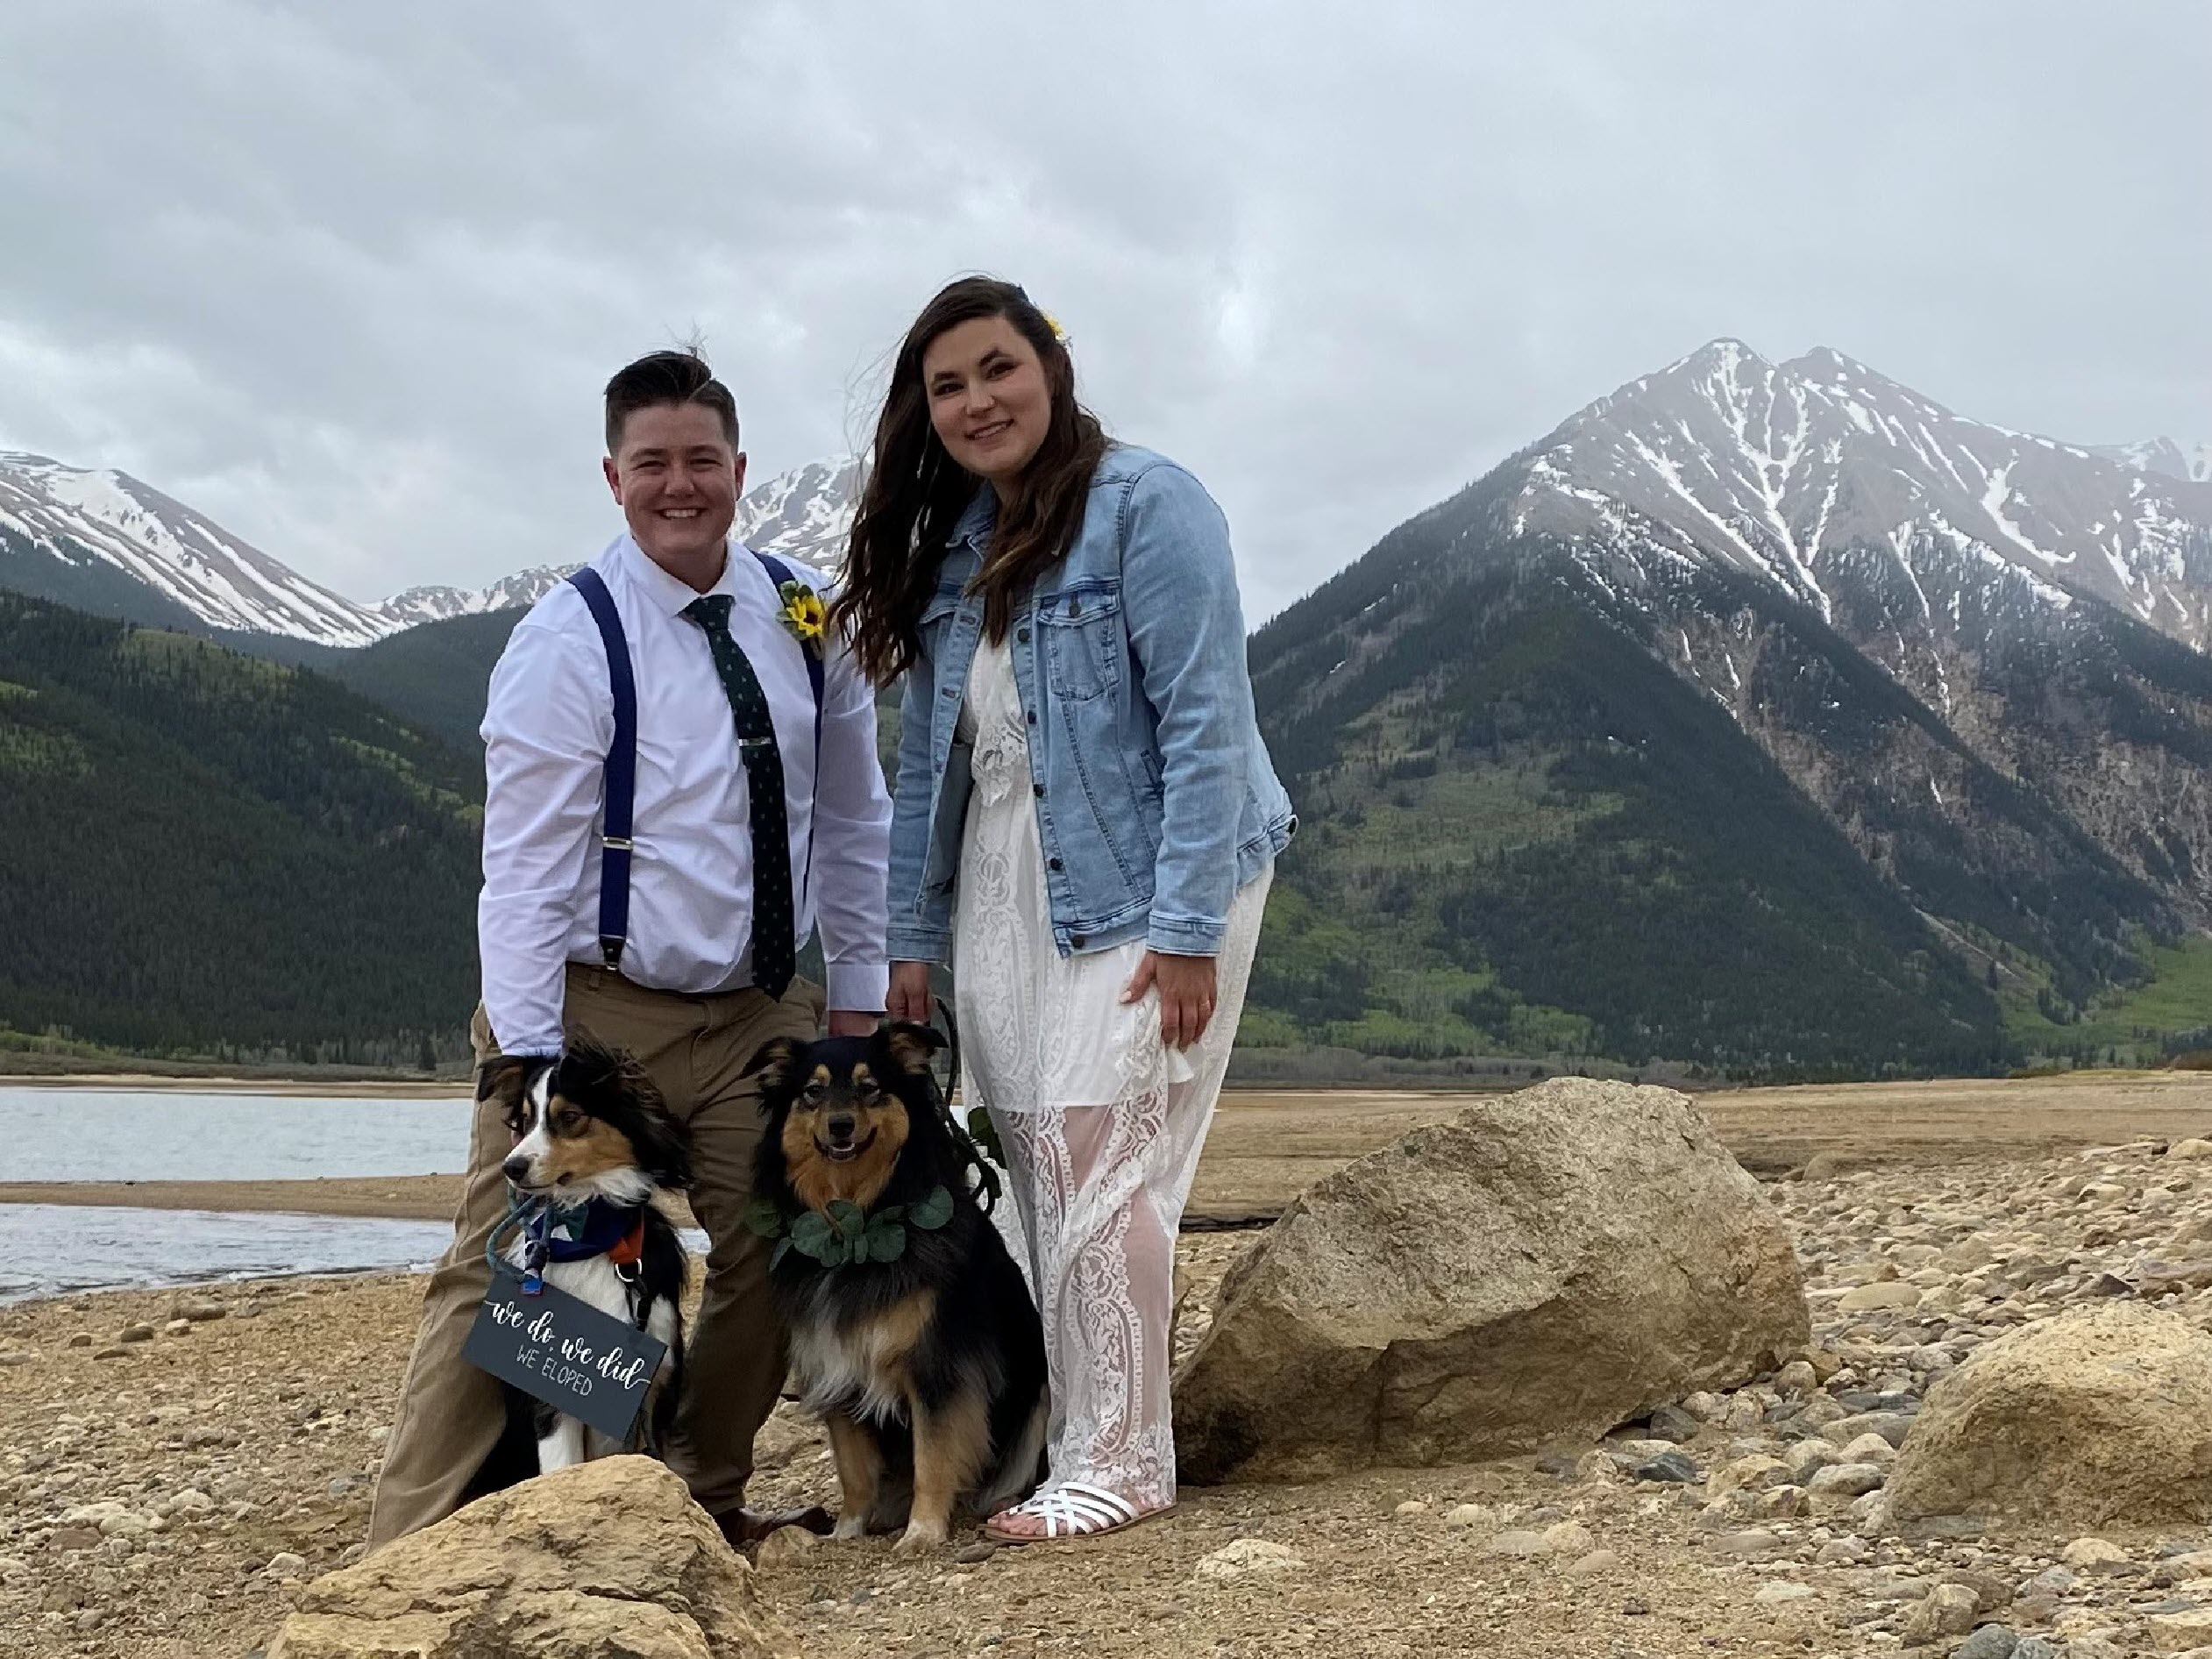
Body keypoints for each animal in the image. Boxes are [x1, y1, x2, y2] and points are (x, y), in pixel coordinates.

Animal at [475, 1039, 690, 1477]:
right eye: (525, 1122)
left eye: (570, 1117)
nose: (511, 1167)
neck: (590, 1239)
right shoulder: (552, 1398)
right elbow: (561, 1467)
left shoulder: (658, 1388)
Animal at [747, 1026, 1048, 1556]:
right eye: (812, 1091)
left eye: (870, 1088)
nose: (841, 1126)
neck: (855, 1226)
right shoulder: (837, 1367)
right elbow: (852, 1469)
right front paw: (848, 1529)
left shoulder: (938, 1371)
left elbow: (933, 1456)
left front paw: (922, 1532)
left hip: (1041, 1390)